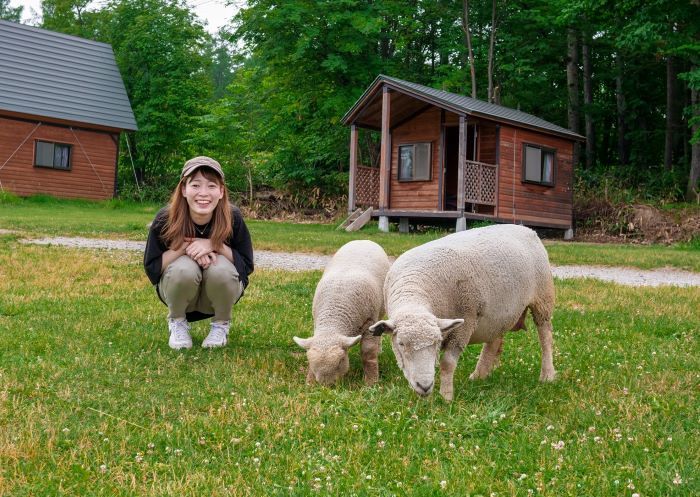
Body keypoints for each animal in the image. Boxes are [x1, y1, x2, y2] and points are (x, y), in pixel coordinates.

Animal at [292, 238, 392, 386]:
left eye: (341, 361)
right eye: (309, 361)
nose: (325, 386)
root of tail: (363, 240)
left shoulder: (369, 321)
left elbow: (368, 352)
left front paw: (371, 382)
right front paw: (309, 382)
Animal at [370, 224, 556, 400]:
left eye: (437, 342)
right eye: (401, 343)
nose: (425, 386)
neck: (414, 293)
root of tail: (527, 229)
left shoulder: (465, 323)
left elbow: (447, 363)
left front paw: (446, 397)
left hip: (543, 297)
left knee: (545, 336)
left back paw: (547, 375)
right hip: (499, 312)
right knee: (494, 340)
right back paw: (479, 375)